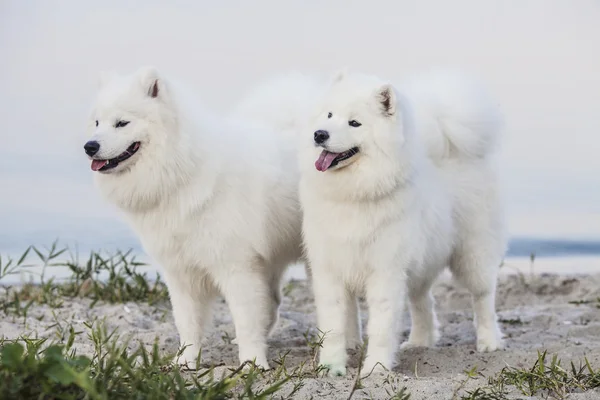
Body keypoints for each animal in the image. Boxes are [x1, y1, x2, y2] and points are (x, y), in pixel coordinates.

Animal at [82, 65, 310, 368]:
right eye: (97, 122)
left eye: (122, 123)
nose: (89, 146)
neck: (183, 171)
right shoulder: (181, 271)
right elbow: (187, 322)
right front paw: (186, 361)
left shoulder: (237, 266)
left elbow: (246, 320)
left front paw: (252, 363)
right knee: (272, 301)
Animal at [300, 68, 506, 376]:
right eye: (329, 115)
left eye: (354, 123)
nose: (320, 134)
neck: (354, 194)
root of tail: (452, 148)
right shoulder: (330, 270)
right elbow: (334, 326)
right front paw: (331, 367)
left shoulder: (385, 272)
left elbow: (381, 327)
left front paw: (375, 368)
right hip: (419, 264)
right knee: (423, 301)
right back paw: (421, 341)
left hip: (472, 255)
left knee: (483, 298)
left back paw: (489, 341)